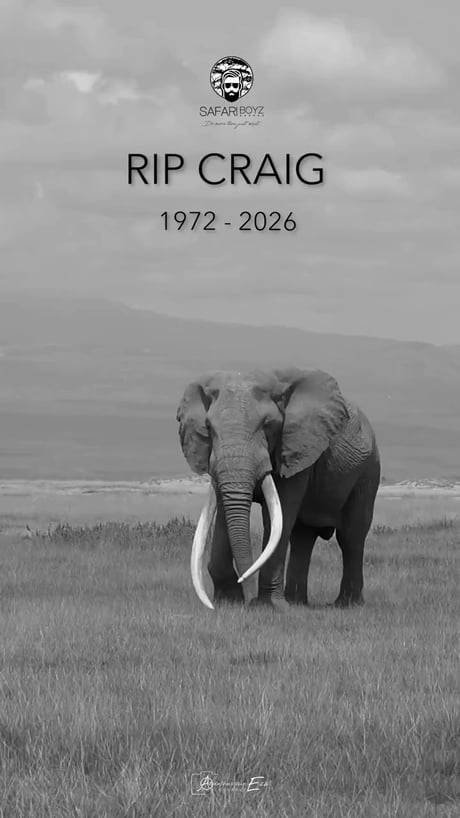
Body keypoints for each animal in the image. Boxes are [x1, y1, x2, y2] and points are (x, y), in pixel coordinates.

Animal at [176, 367, 381, 611]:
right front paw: (227, 602)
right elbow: (225, 512)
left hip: (368, 471)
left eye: (268, 425)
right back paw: (297, 602)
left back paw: (347, 605)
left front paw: (269, 607)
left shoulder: (296, 448)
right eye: (208, 428)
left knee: (351, 536)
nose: (248, 599)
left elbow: (277, 513)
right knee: (303, 537)